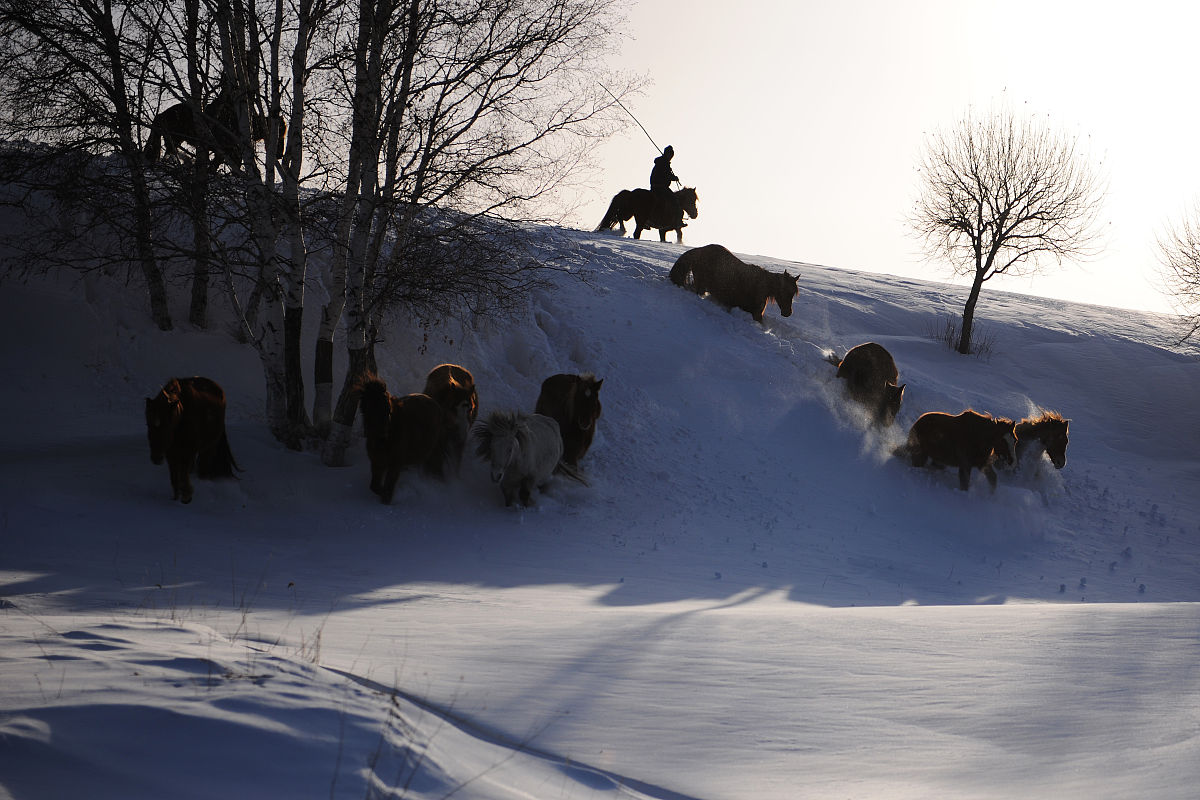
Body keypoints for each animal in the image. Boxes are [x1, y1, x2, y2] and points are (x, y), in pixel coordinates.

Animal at [357, 376, 444, 504]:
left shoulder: (395, 464)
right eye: (367, 407)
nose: (381, 434)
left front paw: (387, 499)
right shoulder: (377, 462)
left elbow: (387, 488)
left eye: (387, 408)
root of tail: (433, 402)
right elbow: (374, 487)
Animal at [669, 243, 799, 322]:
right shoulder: (756, 314)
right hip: (701, 284)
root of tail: (700, 250)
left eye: (793, 293)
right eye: (785, 291)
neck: (765, 285)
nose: (788, 313)